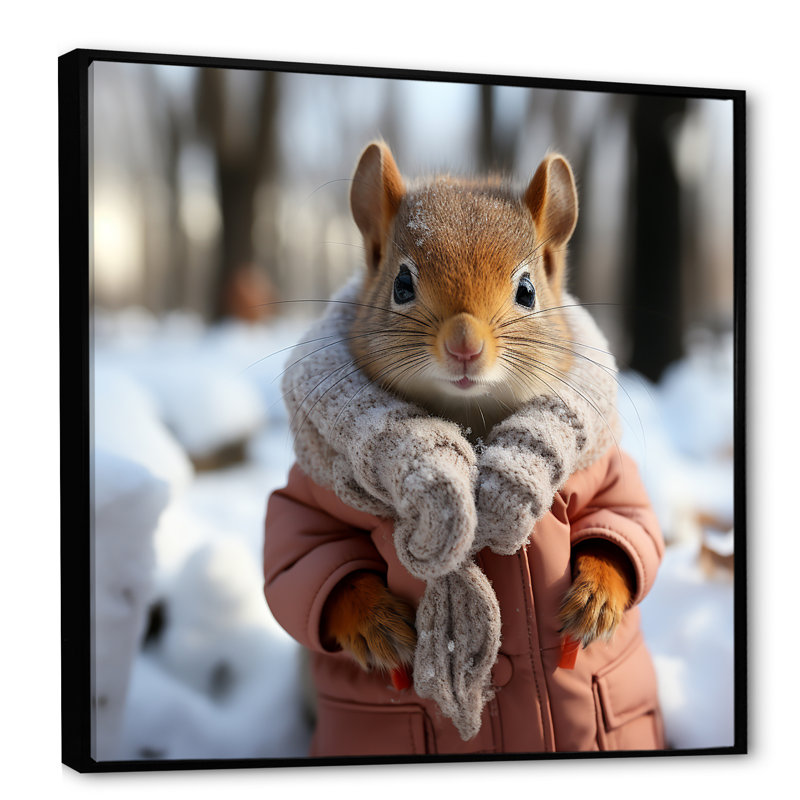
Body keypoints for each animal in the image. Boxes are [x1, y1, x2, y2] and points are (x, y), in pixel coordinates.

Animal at [320, 141, 636, 676]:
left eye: (527, 290)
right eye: (401, 284)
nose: (464, 344)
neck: (469, 416)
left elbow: (619, 520)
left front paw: (597, 598)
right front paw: (373, 623)